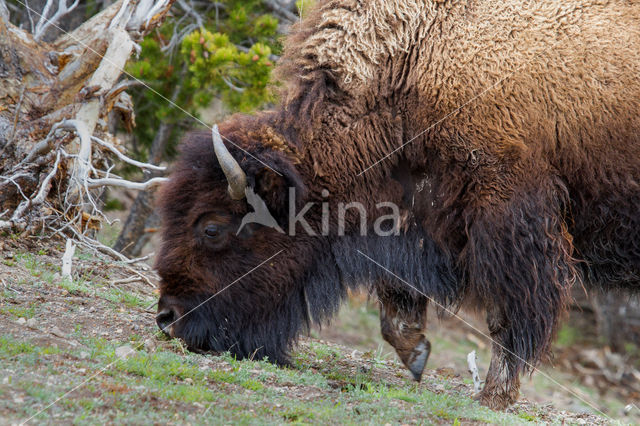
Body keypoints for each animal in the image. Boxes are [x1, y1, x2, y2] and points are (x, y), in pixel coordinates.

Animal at [154, 0, 640, 412]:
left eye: (211, 227)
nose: (167, 318)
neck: (416, 60)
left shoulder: (508, 216)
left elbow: (506, 315)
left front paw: (494, 397)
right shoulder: (406, 219)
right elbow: (396, 298)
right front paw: (417, 355)